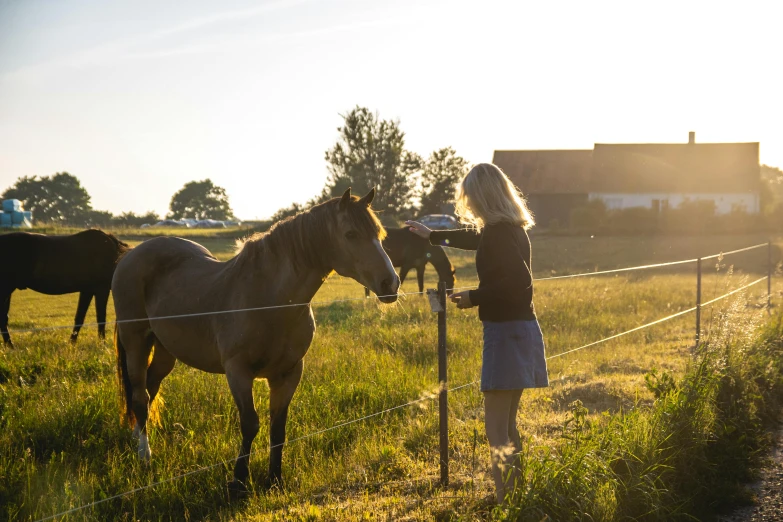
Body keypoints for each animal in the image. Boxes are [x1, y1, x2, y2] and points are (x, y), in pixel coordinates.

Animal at [0, 228, 129, 346]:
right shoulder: (101, 290)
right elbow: (101, 318)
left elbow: (80, 317)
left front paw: (72, 342)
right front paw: (102, 344)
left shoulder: (87, 290)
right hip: (5, 290)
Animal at [113, 187, 402, 492]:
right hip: (135, 342)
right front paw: (239, 481)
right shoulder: (238, 371)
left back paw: (136, 437)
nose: (391, 283)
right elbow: (250, 423)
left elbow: (278, 428)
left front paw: (274, 479)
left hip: (166, 349)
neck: (270, 300)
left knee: (148, 387)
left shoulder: (289, 373)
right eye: (350, 234)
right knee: (140, 396)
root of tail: (130, 255)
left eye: (379, 234)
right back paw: (145, 455)